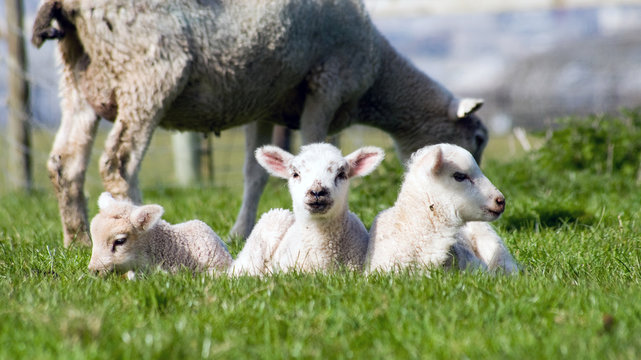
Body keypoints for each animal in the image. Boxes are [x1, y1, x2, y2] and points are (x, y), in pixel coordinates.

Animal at [32, 0, 488, 248]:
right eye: (479, 138)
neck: (378, 76)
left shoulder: (268, 106)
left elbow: (256, 174)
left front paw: (242, 229)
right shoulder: (327, 82)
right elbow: (317, 146)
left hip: (77, 80)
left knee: (64, 163)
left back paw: (77, 238)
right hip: (148, 72)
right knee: (119, 162)